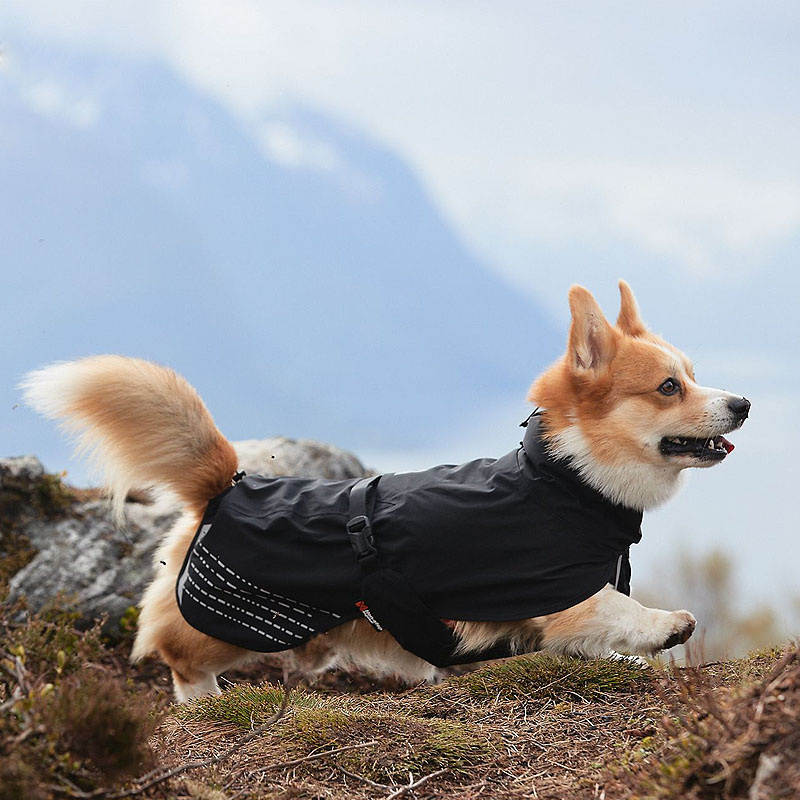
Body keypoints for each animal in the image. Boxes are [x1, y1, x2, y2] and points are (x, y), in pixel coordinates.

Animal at [21, 282, 748, 700]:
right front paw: (668, 625)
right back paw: (208, 700)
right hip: (234, 624)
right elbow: (621, 611)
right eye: (668, 388)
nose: (743, 404)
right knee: (174, 647)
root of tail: (225, 484)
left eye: (692, 375)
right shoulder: (557, 592)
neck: (567, 477)